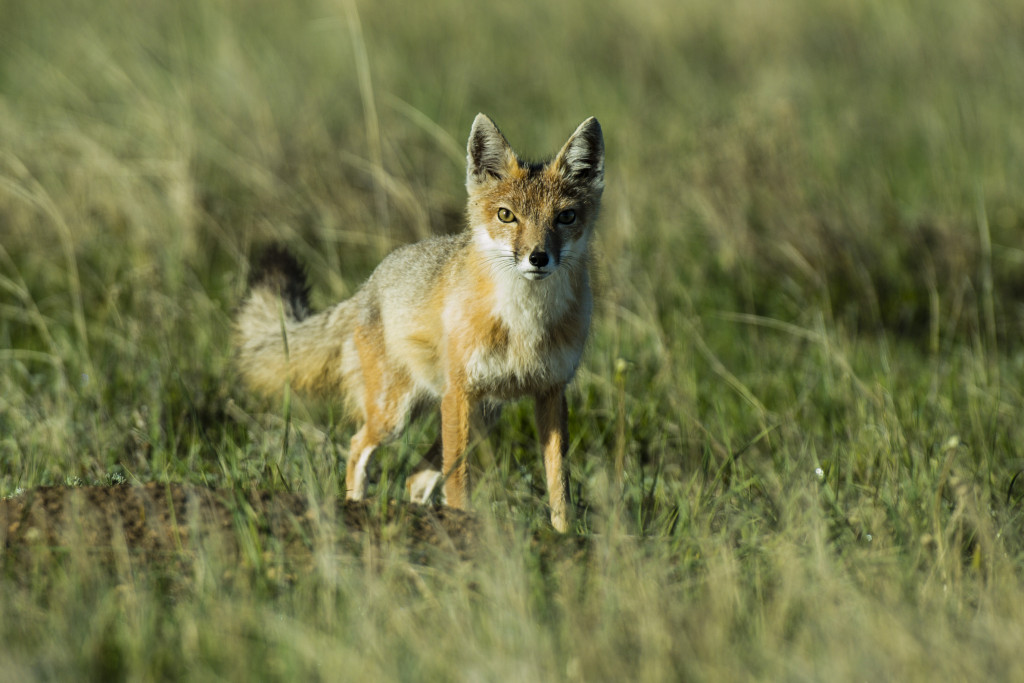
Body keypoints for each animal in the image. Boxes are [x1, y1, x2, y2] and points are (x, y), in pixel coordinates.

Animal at [234, 113, 598, 532]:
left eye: (565, 217)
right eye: (507, 215)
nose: (537, 258)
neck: (525, 322)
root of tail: (367, 286)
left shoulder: (552, 392)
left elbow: (559, 485)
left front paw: (564, 536)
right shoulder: (460, 392)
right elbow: (459, 482)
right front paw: (463, 525)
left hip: (481, 416)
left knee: (415, 477)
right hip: (398, 415)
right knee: (358, 447)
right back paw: (356, 508)